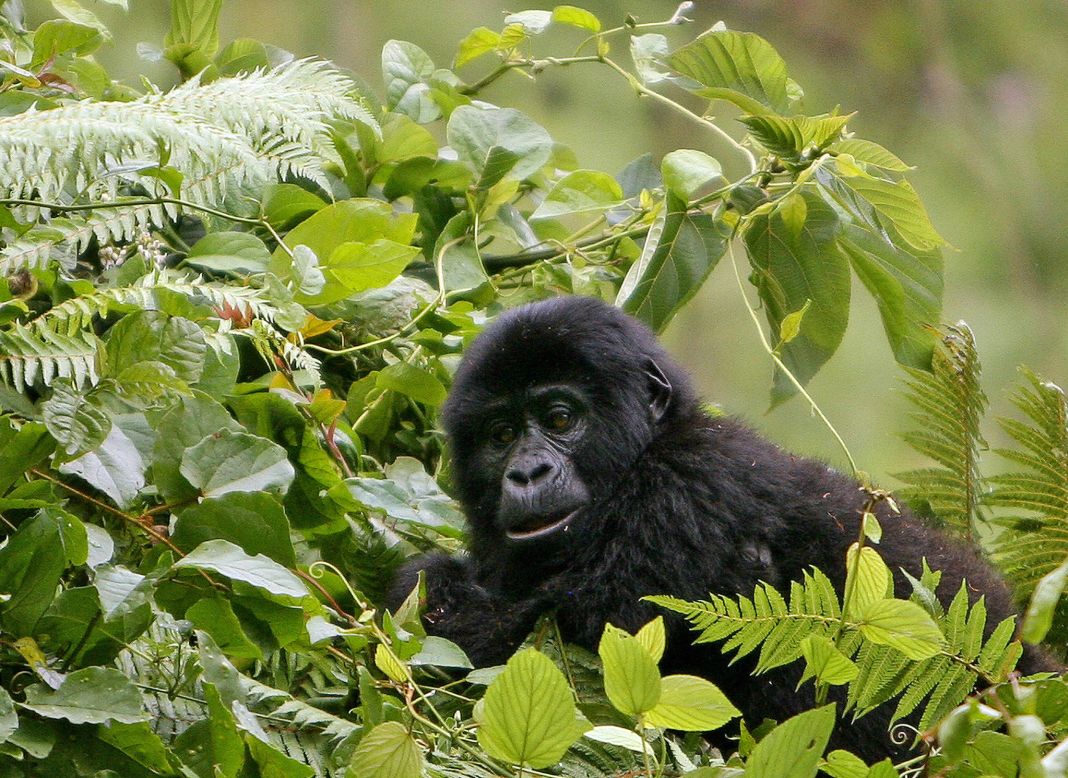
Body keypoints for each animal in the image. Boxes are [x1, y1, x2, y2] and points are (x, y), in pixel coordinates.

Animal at [390, 297, 1050, 760]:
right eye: (501, 434)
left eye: (559, 418)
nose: (527, 472)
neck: (646, 451)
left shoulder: (685, 491)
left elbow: (547, 655)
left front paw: (428, 586)